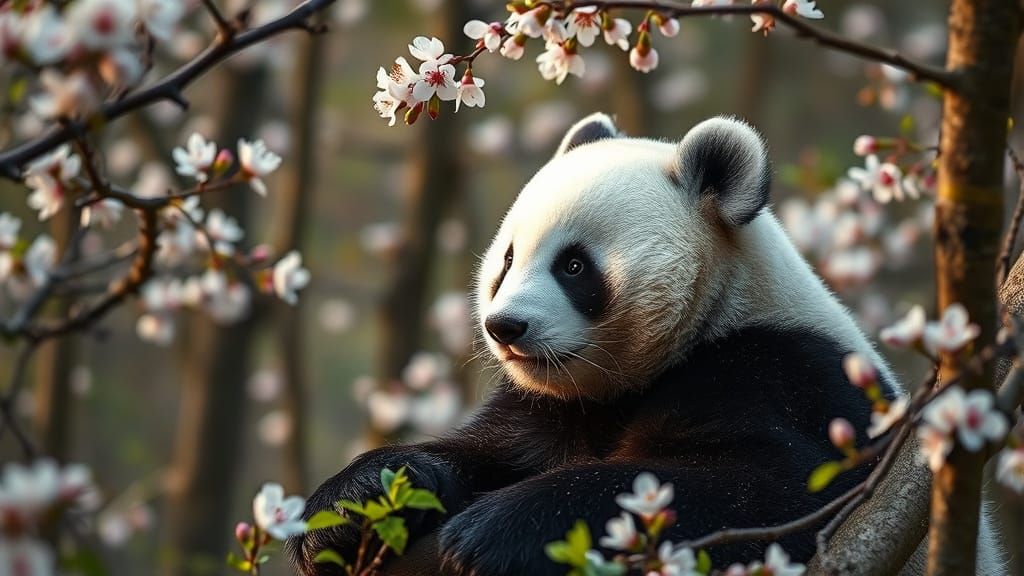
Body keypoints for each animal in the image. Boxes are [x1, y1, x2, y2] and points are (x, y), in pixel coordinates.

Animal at [291, 114, 1004, 576]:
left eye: (574, 266)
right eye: (508, 258)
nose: (505, 327)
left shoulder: (786, 374)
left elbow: (778, 494)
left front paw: (489, 535)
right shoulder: (547, 406)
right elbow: (477, 453)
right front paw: (355, 504)